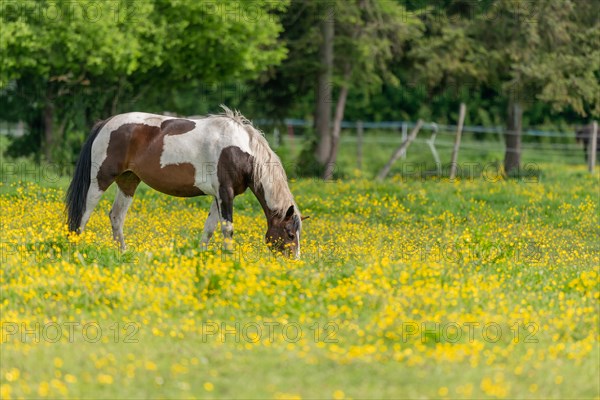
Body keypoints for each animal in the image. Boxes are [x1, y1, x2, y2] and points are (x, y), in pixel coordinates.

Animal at [67, 105, 304, 256]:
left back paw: (122, 254)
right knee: (83, 215)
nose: (294, 262)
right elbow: (227, 228)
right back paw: (76, 250)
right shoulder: (225, 193)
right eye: (290, 234)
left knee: (116, 217)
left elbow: (209, 229)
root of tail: (105, 123)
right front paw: (229, 258)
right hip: (99, 180)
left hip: (128, 182)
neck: (240, 150)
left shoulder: (219, 196)